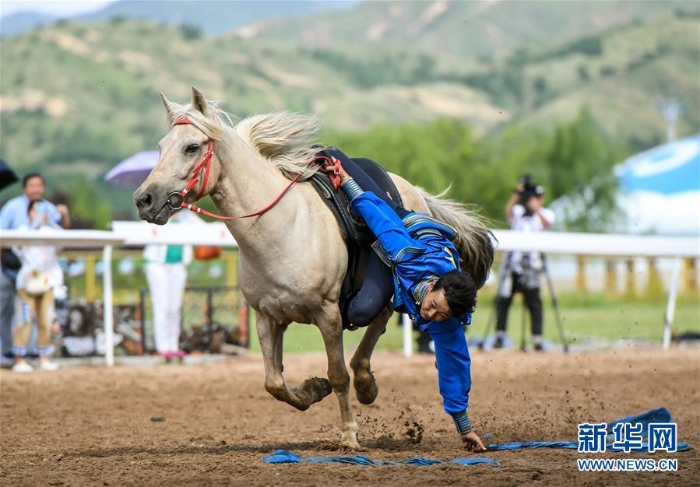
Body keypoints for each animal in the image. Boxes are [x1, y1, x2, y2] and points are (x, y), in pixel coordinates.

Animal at [135, 88, 492, 450]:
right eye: (161, 147)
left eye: (192, 147)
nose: (144, 199)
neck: (281, 228)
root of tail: (411, 190)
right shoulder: (266, 317)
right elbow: (274, 382)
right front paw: (312, 390)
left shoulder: (328, 314)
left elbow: (338, 375)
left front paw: (349, 435)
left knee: (377, 320)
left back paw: (366, 385)